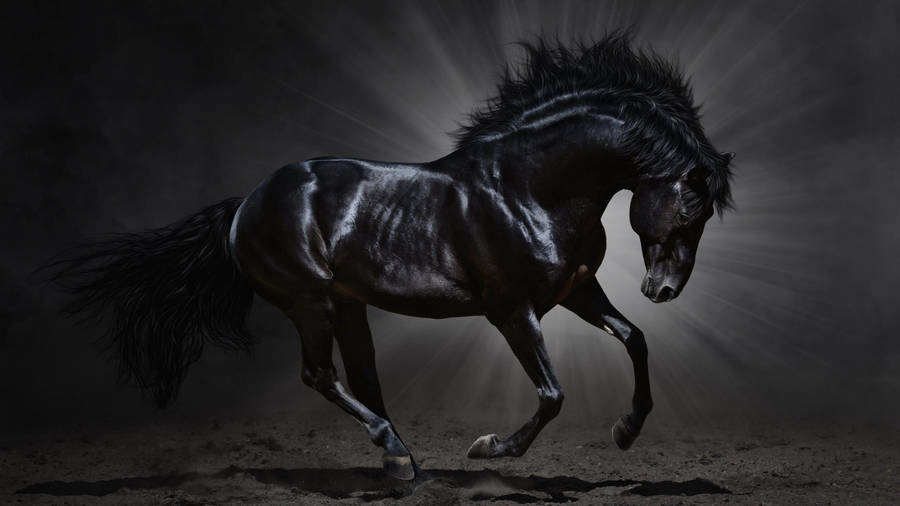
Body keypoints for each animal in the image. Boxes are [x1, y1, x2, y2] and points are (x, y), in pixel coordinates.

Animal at [47, 34, 734, 481]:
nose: (663, 290)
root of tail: (245, 204)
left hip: (347, 306)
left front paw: (626, 430)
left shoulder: (576, 291)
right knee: (320, 376)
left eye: (703, 218)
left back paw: (401, 459)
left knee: (362, 378)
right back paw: (397, 455)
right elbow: (552, 393)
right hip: (310, 302)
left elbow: (635, 339)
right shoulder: (512, 311)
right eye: (687, 210)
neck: (528, 189)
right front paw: (488, 449)